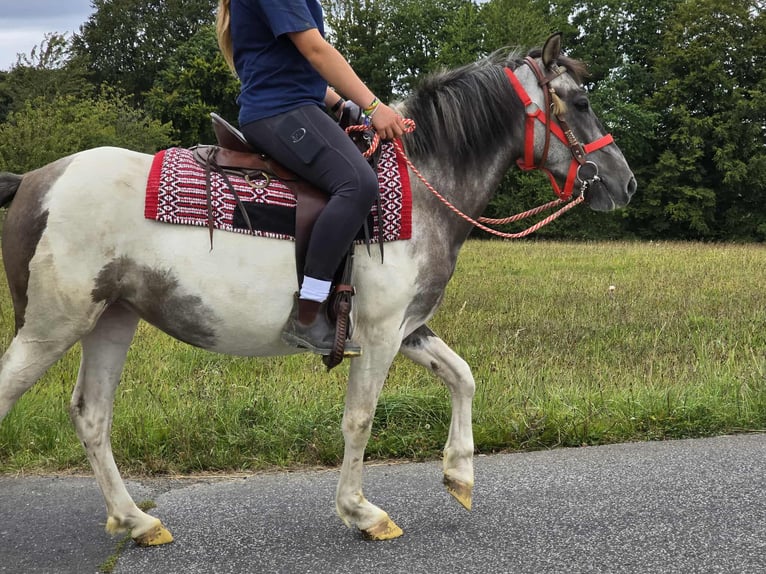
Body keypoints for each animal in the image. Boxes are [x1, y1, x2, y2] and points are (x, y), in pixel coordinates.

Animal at [0, 34, 635, 545]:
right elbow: (360, 418)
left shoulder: (406, 328)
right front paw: (361, 512)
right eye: (580, 102)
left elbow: (462, 376)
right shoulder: (378, 336)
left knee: (91, 415)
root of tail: (35, 179)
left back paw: (136, 521)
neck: (420, 191)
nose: (625, 183)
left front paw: (460, 474)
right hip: (50, 328)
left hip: (111, 319)